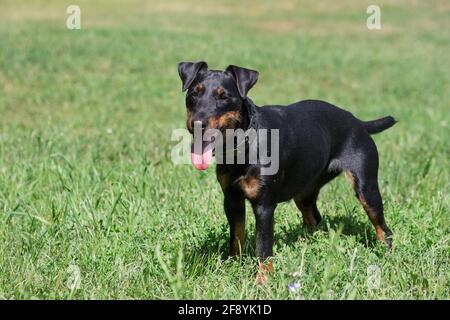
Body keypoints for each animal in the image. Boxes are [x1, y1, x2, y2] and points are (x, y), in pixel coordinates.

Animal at [178, 61, 396, 284]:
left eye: (224, 97)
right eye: (194, 93)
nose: (197, 123)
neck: (245, 143)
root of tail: (359, 122)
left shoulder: (264, 206)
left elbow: (263, 248)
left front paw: (262, 283)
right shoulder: (231, 199)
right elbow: (236, 237)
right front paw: (232, 267)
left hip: (366, 187)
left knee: (383, 229)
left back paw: (386, 256)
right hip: (306, 191)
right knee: (314, 218)